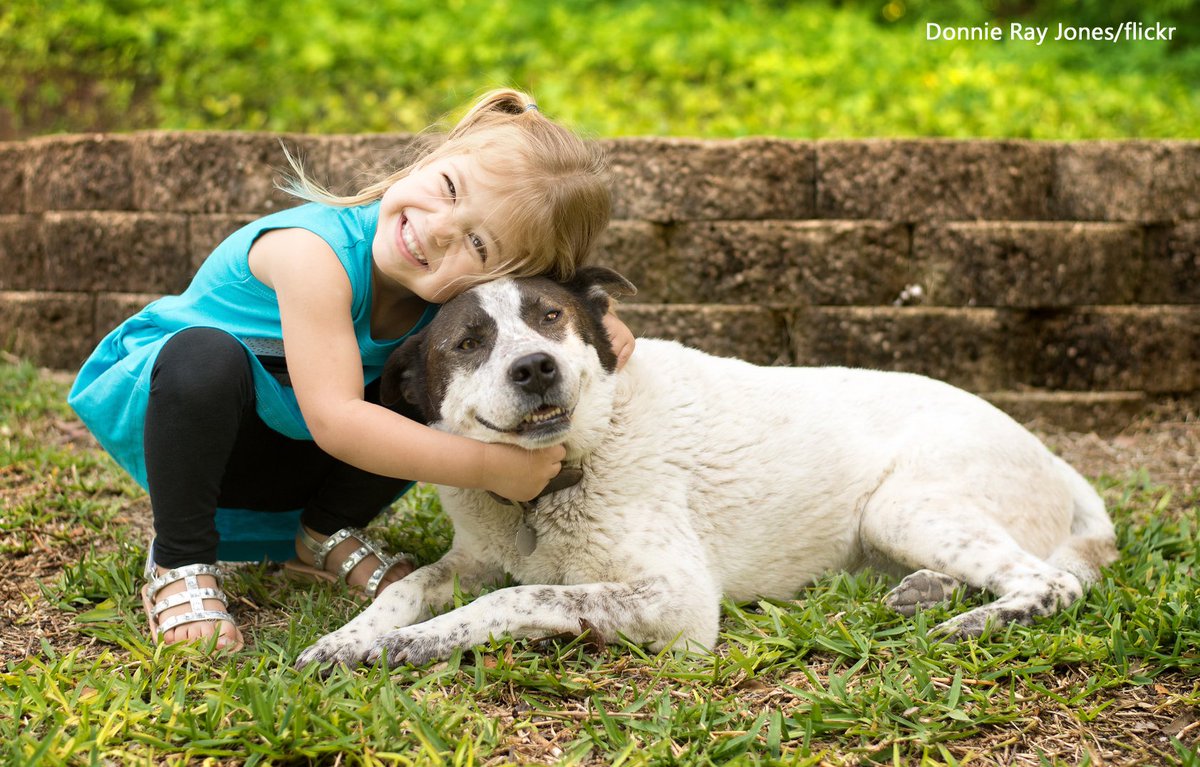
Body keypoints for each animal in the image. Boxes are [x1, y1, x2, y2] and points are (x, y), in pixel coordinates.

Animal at [295, 266, 1118, 667]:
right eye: (467, 343)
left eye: (551, 318)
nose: (535, 368)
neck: (561, 473)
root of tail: (1052, 457)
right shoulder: (471, 558)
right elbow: (409, 586)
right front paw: (344, 640)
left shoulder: (679, 600)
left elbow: (522, 595)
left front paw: (416, 643)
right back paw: (924, 592)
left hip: (902, 506)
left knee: (1051, 583)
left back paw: (971, 621)